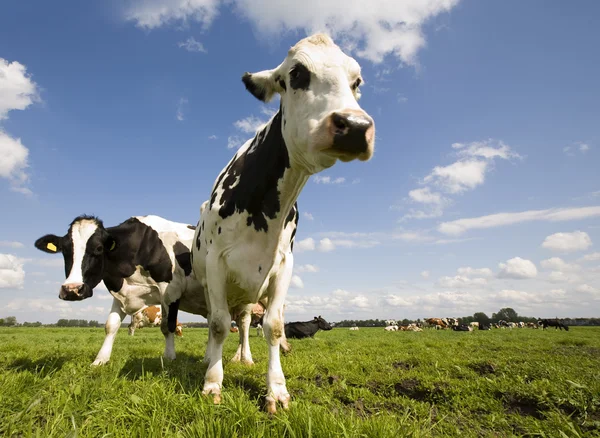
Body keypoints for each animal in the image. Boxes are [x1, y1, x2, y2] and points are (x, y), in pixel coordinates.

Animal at [191, 32, 376, 412]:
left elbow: (274, 326)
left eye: (357, 82)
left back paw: (245, 358)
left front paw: (276, 389)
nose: (355, 126)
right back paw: (210, 358)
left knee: (246, 320)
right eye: (297, 73)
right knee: (220, 319)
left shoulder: (283, 263)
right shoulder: (216, 262)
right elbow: (217, 324)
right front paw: (213, 382)